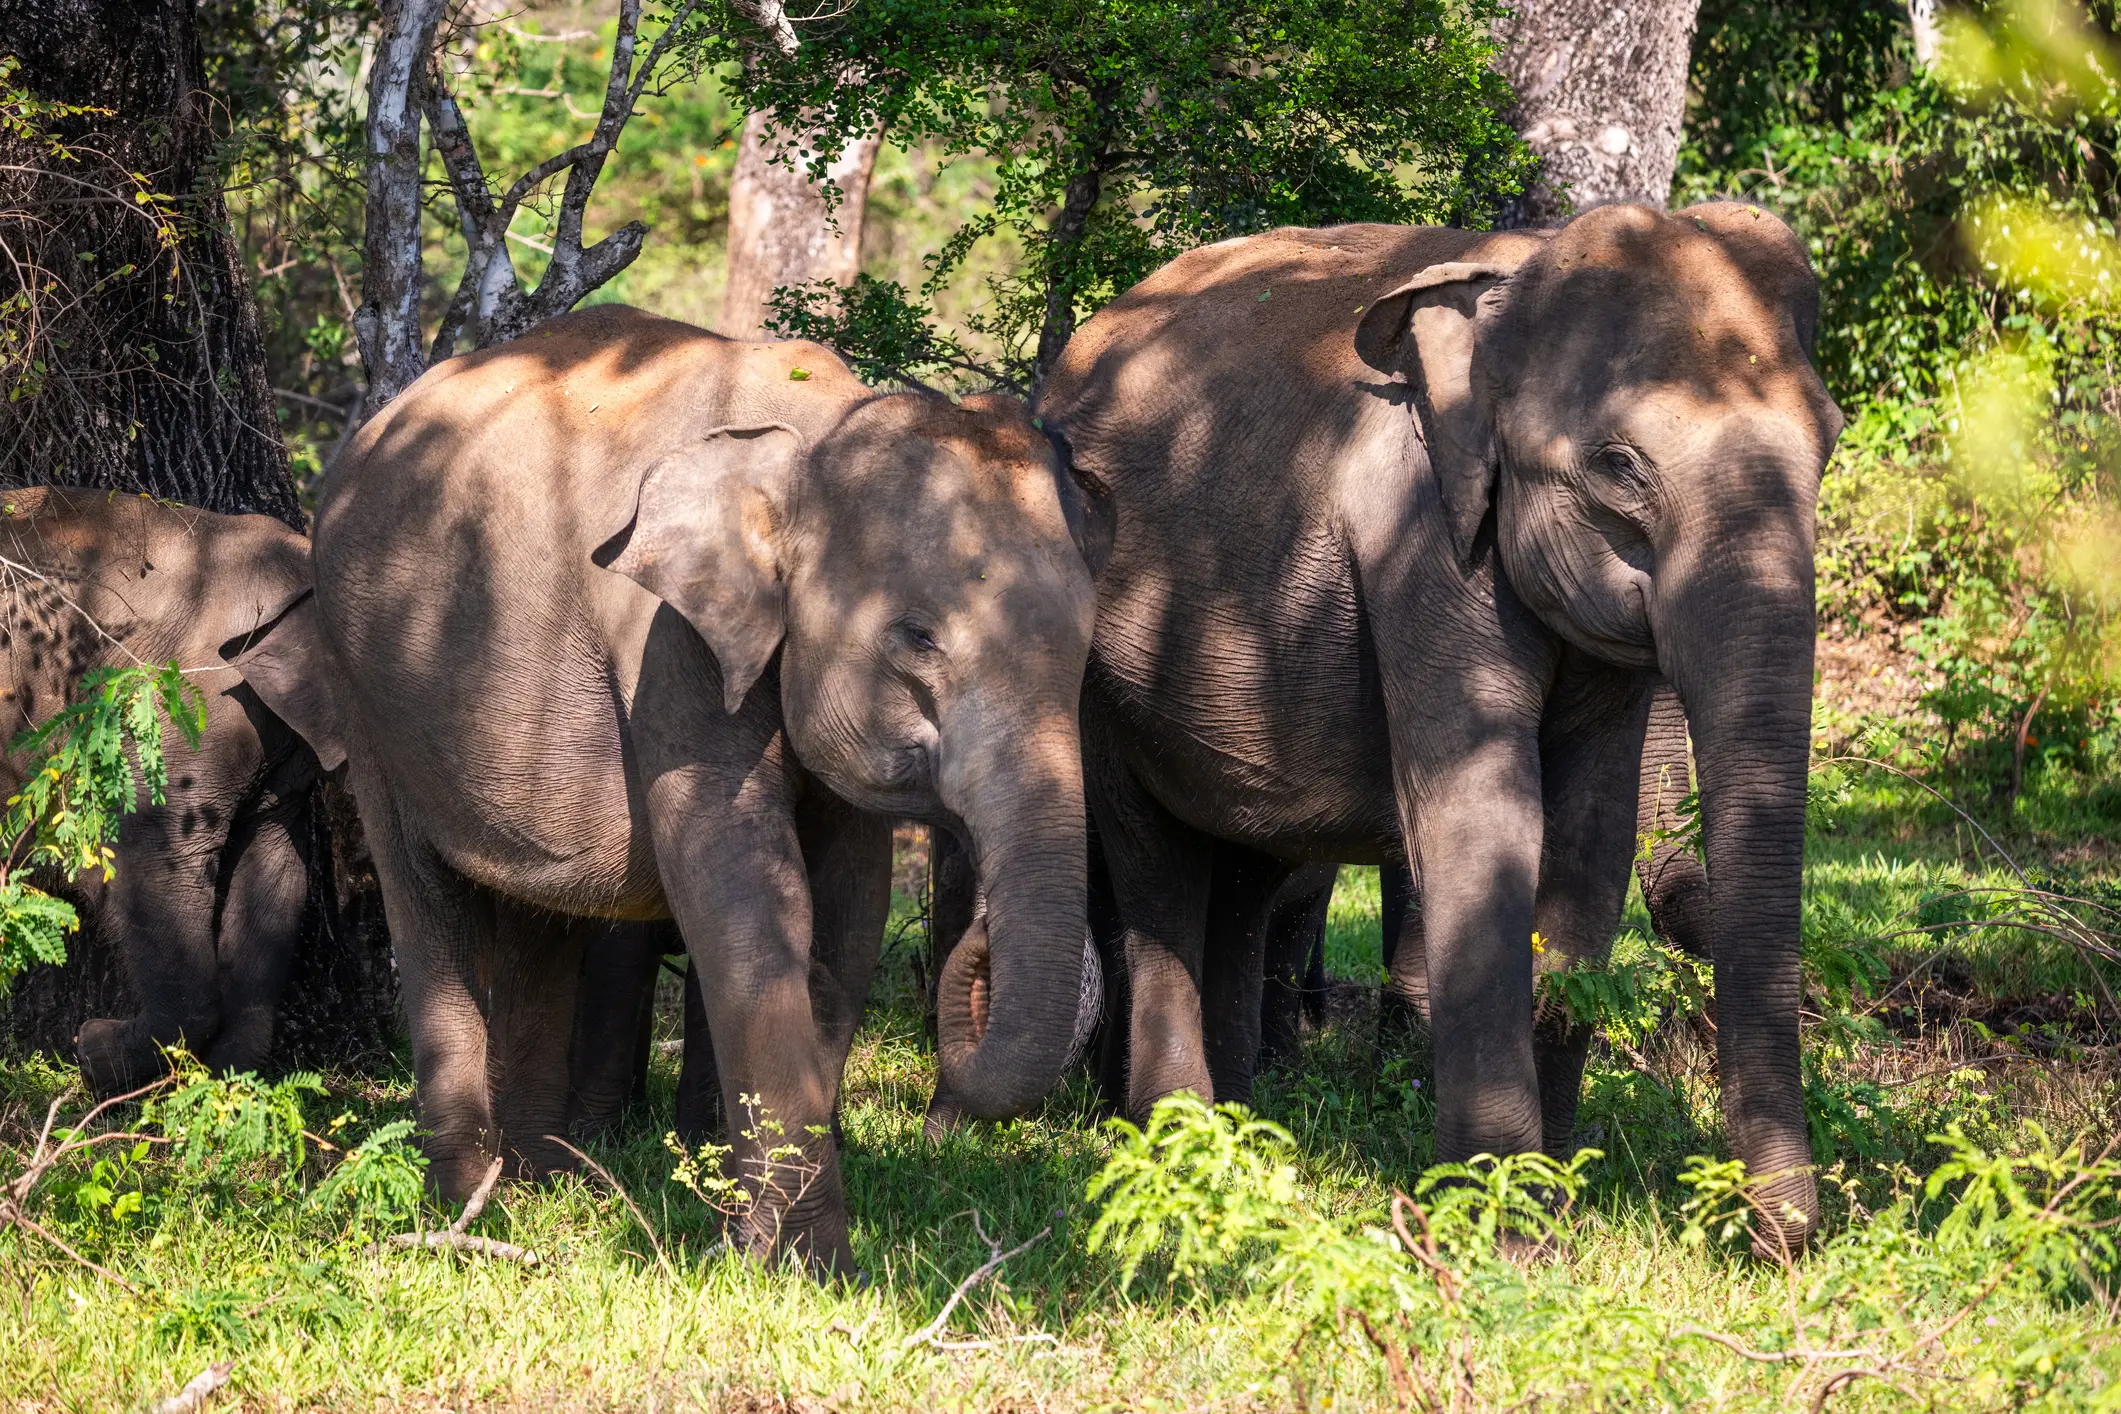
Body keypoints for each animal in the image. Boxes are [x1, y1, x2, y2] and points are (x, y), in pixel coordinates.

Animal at [236, 305, 1106, 1270]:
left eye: (1089, 636)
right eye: (917, 637)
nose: (977, 935)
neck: (815, 433)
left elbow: (849, 915)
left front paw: (756, 1245)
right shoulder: (664, 643)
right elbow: (747, 896)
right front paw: (802, 1268)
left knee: (540, 918)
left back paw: (547, 1185)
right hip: (372, 701)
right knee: (430, 910)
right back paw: (469, 1214)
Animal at [1038, 202, 1842, 1254]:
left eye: (1828, 444)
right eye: (1619, 467)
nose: (1781, 1243)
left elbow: (1588, 843)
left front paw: (1556, 1200)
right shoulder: (1418, 542)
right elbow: (1481, 814)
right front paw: (1505, 1233)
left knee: (1246, 874)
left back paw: (1242, 1135)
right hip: (1098, 673)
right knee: (1157, 868)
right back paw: (1176, 1152)